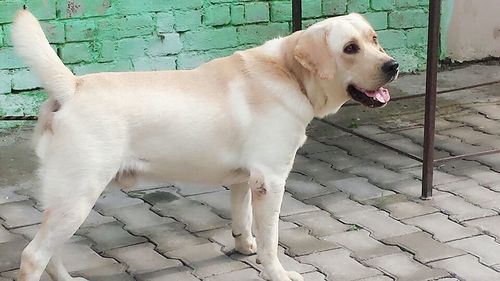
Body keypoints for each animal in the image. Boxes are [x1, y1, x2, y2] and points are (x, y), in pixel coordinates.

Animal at [11, 9, 398, 280]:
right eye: (350, 48)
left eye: (374, 39)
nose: (392, 65)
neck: (289, 73)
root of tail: (72, 87)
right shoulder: (270, 180)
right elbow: (271, 239)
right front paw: (277, 272)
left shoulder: (246, 179)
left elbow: (243, 219)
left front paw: (244, 246)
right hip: (78, 197)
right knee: (33, 256)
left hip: (66, 200)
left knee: (50, 252)